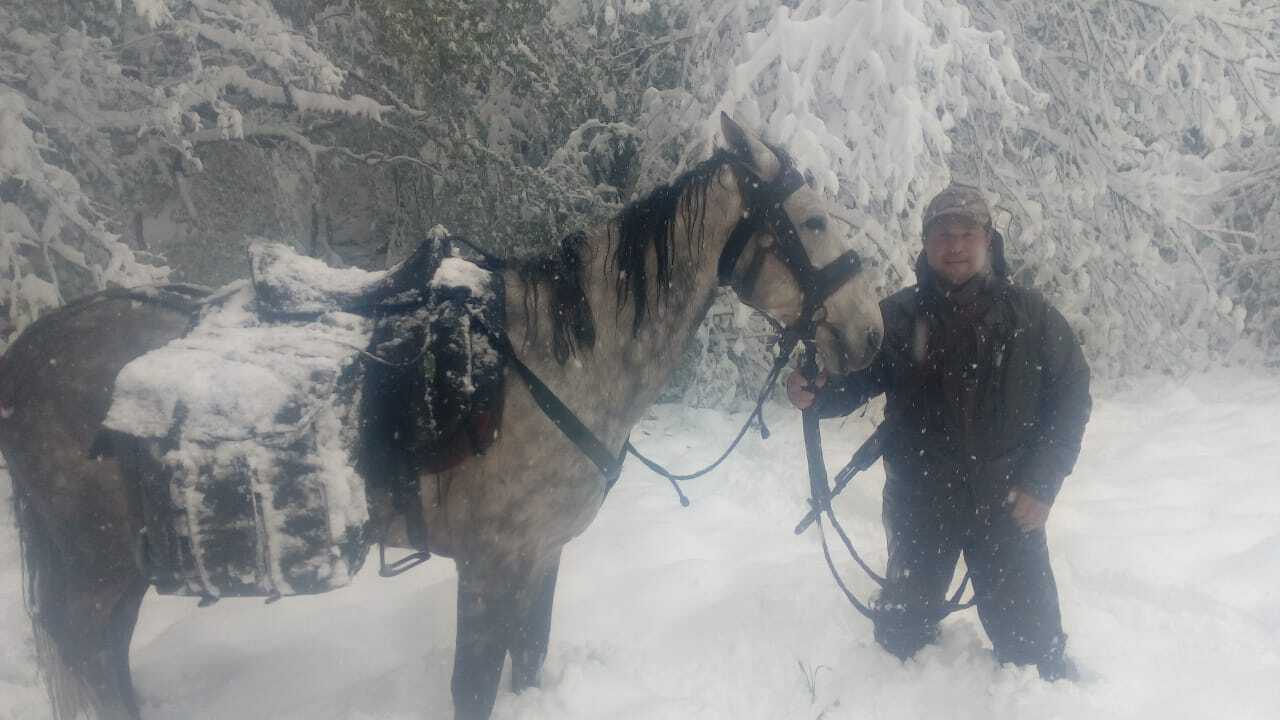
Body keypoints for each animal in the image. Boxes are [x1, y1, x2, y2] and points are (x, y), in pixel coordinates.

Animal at [0, 117, 880, 717]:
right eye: (812, 222)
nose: (871, 335)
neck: (552, 364)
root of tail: (29, 351)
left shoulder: (539, 557)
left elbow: (527, 662)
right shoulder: (490, 565)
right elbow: (474, 686)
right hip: (92, 570)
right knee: (91, 660)